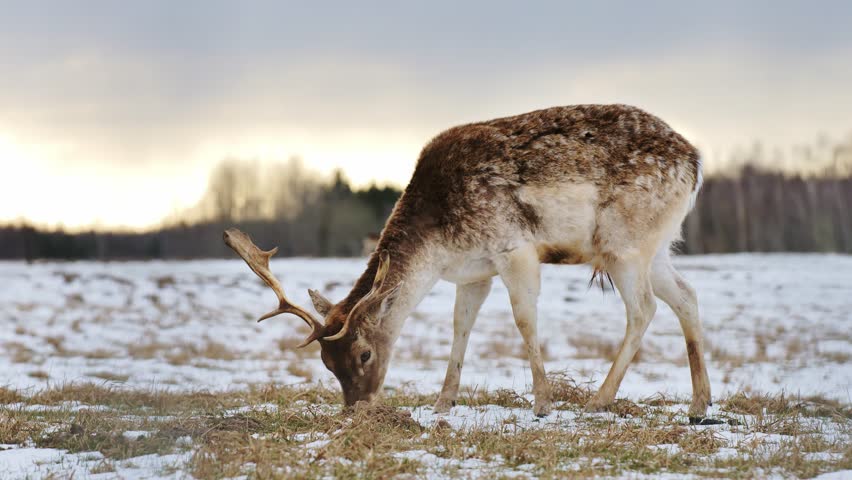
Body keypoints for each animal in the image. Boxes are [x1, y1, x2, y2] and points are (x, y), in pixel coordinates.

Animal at [224, 104, 712, 421]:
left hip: (621, 242)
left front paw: (543, 403)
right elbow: (461, 327)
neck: (440, 243)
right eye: (326, 362)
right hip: (656, 247)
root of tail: (695, 163)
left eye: (364, 353)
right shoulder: (473, 273)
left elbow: (524, 321)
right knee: (686, 296)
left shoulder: (514, 249)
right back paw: (699, 403)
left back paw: (600, 399)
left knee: (644, 308)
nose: (356, 408)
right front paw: (443, 402)